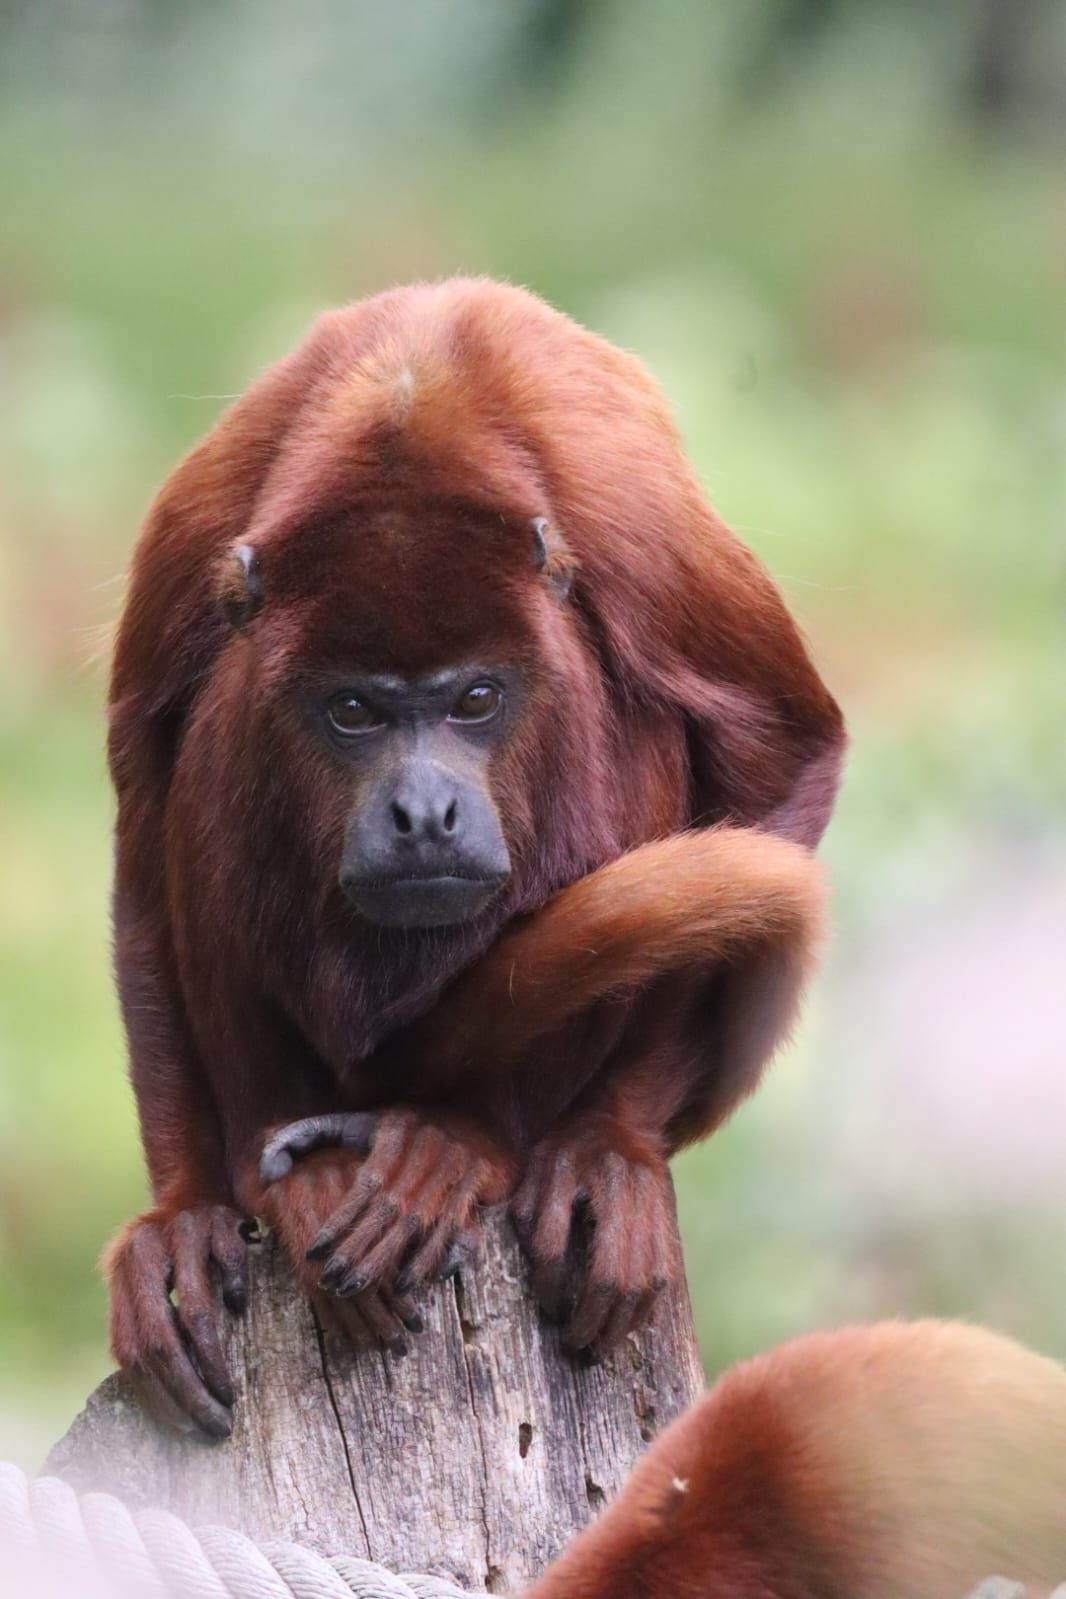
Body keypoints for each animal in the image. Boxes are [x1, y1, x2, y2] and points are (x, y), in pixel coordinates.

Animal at [104, 277, 844, 1433]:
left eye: (476, 699)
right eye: (354, 711)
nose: (423, 812)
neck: (410, 419)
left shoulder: (638, 532)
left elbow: (783, 757)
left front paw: (607, 1147)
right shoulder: (198, 539)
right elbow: (144, 823)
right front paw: (184, 1212)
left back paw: (461, 1139)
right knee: (218, 727)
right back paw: (296, 1175)